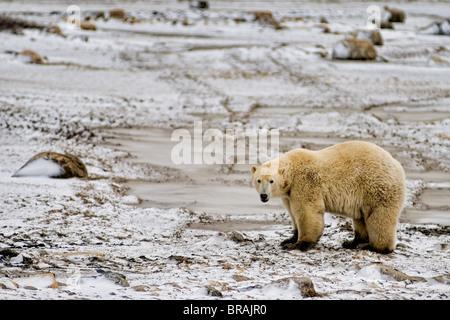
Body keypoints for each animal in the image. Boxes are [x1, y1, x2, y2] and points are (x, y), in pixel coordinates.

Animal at [251, 141, 406, 254]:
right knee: (361, 218)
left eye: (271, 181)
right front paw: (288, 239)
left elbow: (307, 212)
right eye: (258, 180)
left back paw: (373, 246)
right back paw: (352, 242)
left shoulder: (305, 183)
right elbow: (293, 214)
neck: (292, 170)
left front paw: (298, 244)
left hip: (376, 185)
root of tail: (397, 164)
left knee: (379, 216)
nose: (264, 195)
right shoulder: (288, 194)